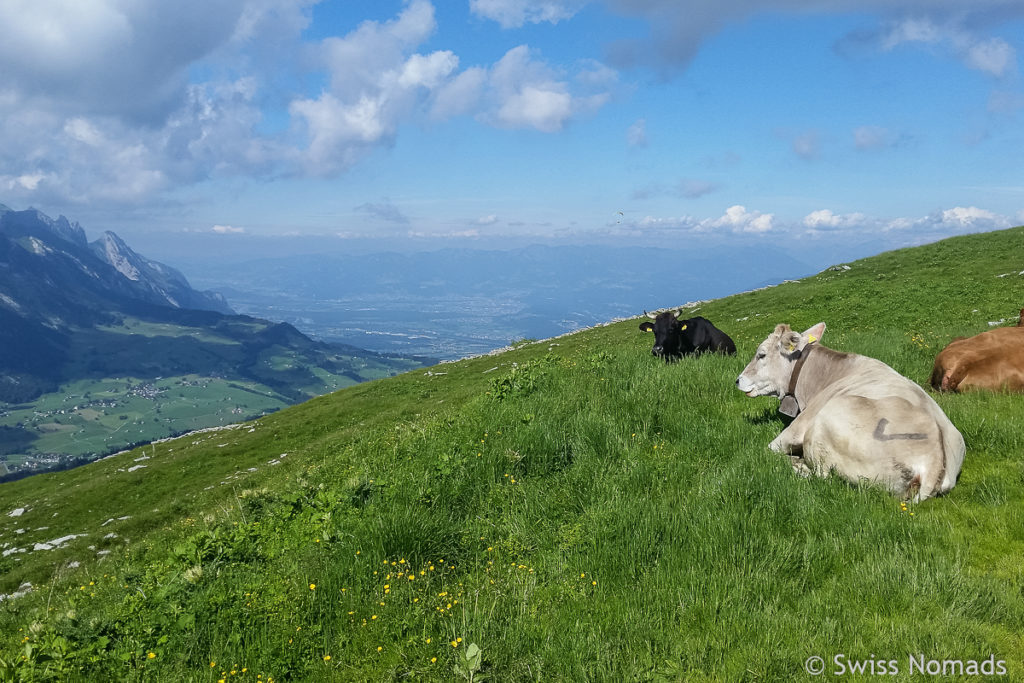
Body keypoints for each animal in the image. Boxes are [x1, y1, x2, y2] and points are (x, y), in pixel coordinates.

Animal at [737, 321, 966, 501]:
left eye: (761, 354)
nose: (738, 380)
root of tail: (933, 464)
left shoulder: (794, 430)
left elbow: (766, 450)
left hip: (825, 422)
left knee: (821, 475)